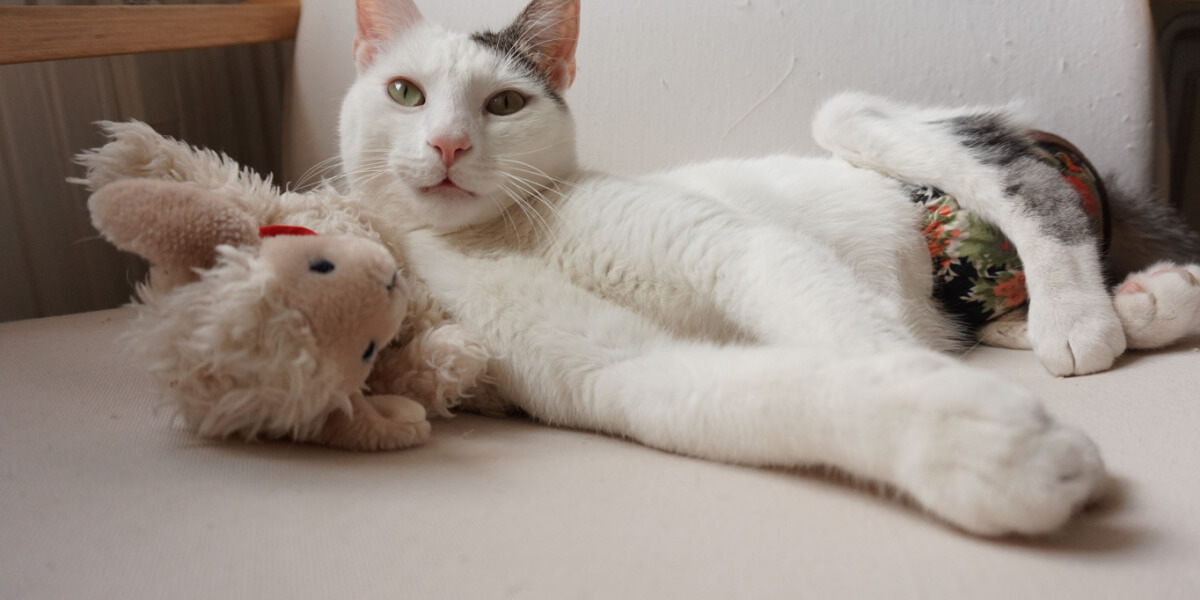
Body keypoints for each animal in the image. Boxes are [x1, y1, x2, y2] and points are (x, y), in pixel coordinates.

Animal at [336, 0, 1200, 535]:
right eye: (406, 93)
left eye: (505, 105)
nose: (448, 145)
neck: (508, 233)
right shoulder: (611, 368)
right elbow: (738, 391)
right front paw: (977, 445)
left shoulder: (737, 247)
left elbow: (857, 338)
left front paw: (951, 403)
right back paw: (1151, 299)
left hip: (863, 119)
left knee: (1026, 182)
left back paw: (1078, 316)